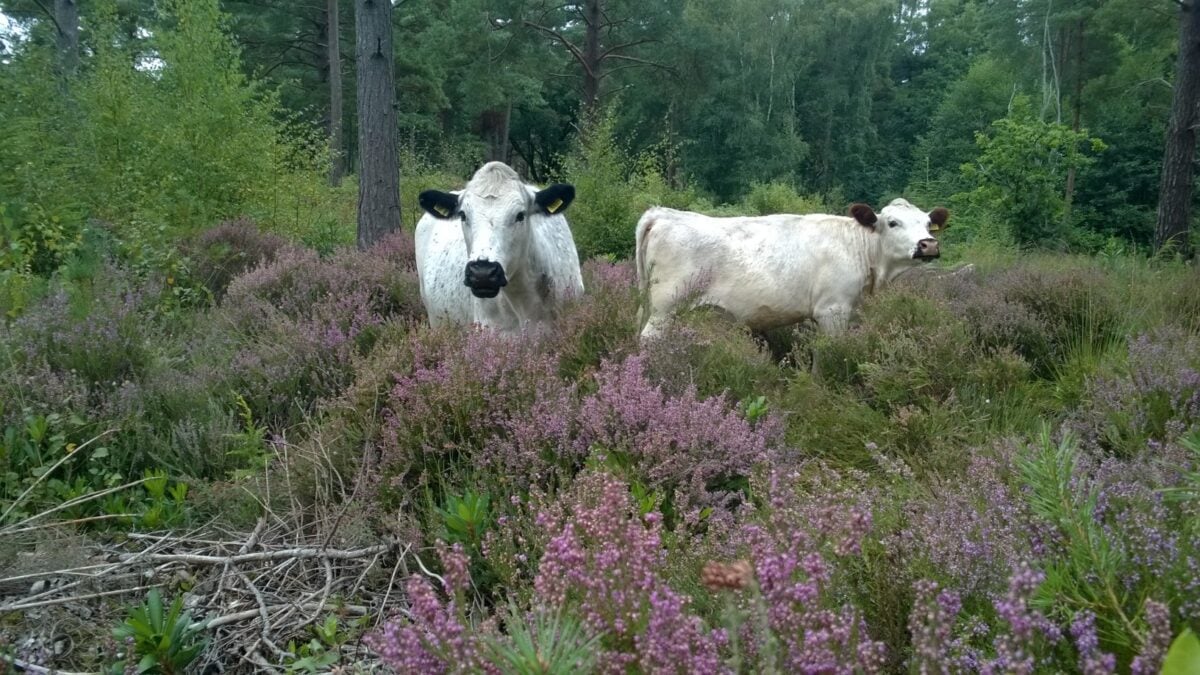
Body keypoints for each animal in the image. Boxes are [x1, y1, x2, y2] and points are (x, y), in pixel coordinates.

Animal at [635, 198, 950, 339]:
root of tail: (663, 213)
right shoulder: (832, 310)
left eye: (927, 223)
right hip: (666, 307)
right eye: (893, 223)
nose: (928, 244)